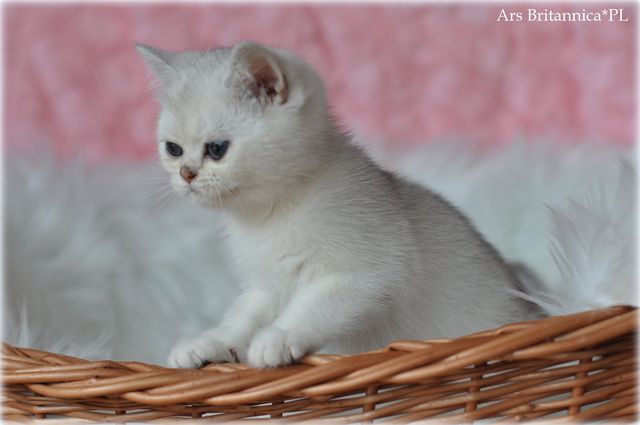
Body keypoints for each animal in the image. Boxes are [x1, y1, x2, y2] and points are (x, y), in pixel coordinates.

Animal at [136, 41, 535, 369]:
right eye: (173, 149)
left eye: (216, 149)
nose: (186, 174)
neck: (271, 213)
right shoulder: (266, 287)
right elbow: (241, 319)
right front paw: (209, 343)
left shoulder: (369, 273)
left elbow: (315, 306)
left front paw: (277, 338)